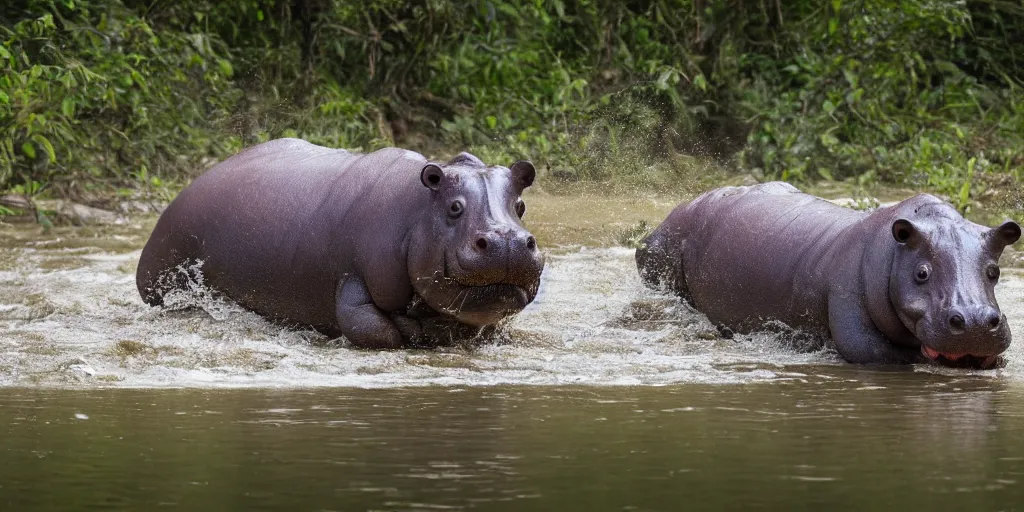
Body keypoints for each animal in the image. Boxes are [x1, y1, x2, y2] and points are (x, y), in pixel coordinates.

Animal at [140, 138, 548, 350]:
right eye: (454, 207)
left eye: (521, 206)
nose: (507, 240)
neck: (417, 210)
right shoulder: (355, 278)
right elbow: (373, 328)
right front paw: (411, 331)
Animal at [634, 183, 1019, 368]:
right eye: (921, 273)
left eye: (994, 271)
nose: (975, 323)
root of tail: (679, 208)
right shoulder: (848, 298)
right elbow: (875, 352)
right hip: (659, 253)